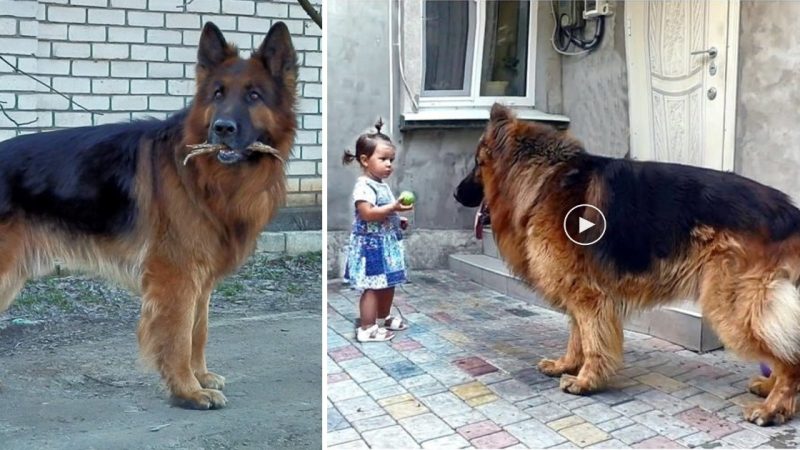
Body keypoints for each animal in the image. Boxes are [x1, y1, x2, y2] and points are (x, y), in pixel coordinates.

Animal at [0, 21, 296, 410]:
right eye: (217, 94)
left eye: (254, 96)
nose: (221, 128)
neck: (202, 176)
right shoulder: (176, 276)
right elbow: (179, 335)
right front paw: (187, 390)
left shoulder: (200, 279)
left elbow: (198, 331)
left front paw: (200, 376)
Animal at [454, 103, 800, 424]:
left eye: (477, 164)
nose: (456, 193)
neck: (542, 181)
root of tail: (790, 212)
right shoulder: (578, 294)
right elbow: (577, 336)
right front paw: (567, 365)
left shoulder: (589, 297)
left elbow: (592, 340)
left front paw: (586, 380)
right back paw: (770, 390)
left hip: (732, 308)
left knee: (791, 359)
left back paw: (773, 408)